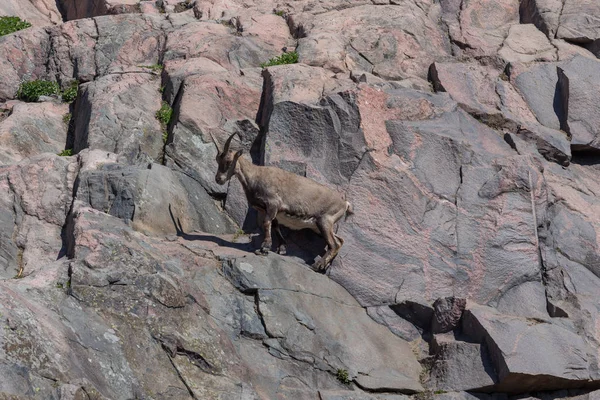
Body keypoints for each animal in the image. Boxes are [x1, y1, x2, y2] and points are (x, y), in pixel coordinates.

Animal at [211, 133, 352, 270]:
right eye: (217, 160)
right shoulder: (271, 210)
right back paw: (325, 265)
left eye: (229, 161)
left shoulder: (273, 204)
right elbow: (275, 226)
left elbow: (266, 223)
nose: (218, 179)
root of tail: (345, 204)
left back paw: (317, 265)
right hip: (318, 226)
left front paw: (264, 248)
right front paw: (281, 248)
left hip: (324, 221)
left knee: (334, 244)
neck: (256, 176)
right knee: (339, 241)